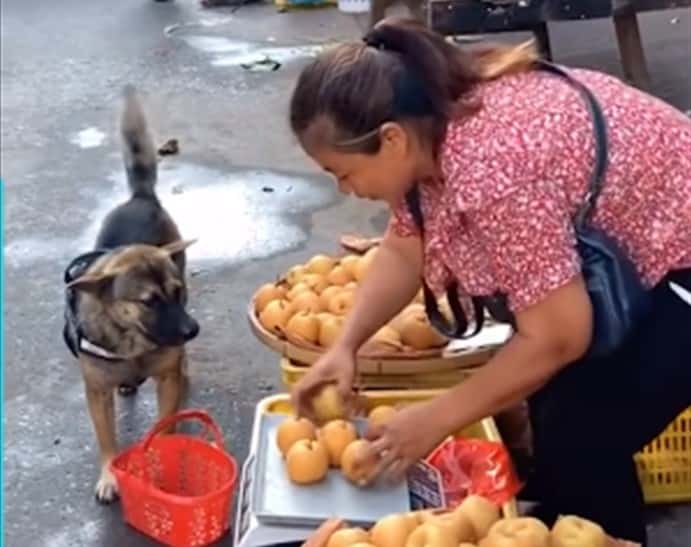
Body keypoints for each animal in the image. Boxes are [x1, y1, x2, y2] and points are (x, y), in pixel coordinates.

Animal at [62, 86, 200, 506]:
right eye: (148, 301)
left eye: (177, 292)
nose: (192, 330)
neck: (133, 341)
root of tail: (141, 197)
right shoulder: (96, 394)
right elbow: (106, 438)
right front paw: (110, 474)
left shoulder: (166, 378)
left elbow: (165, 422)